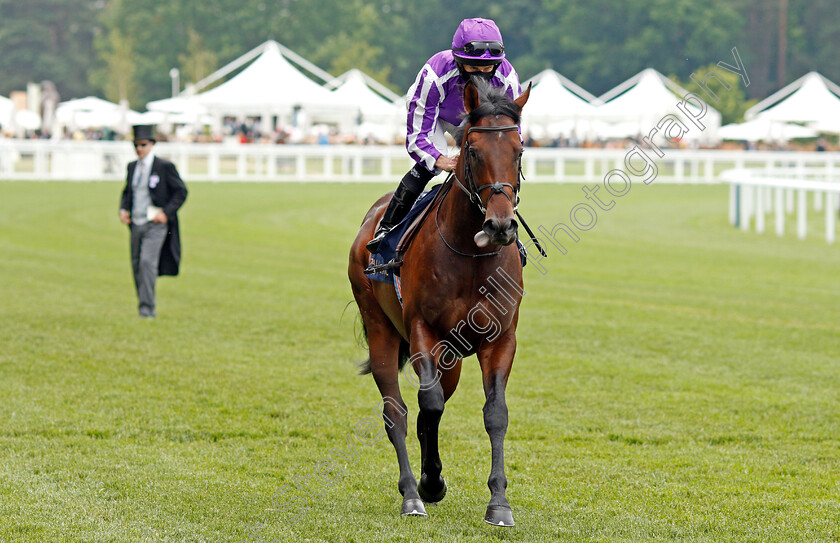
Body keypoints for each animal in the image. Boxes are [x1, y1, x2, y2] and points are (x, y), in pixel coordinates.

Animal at [348, 78, 532, 524]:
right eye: (473, 150)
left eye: (518, 150)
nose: (499, 226)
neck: (469, 254)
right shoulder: (422, 330)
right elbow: (427, 404)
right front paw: (430, 483)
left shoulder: (500, 338)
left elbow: (494, 413)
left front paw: (498, 502)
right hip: (380, 326)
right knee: (397, 411)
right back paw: (413, 493)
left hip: (451, 356)